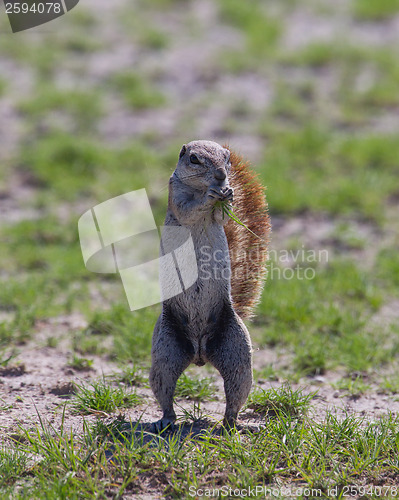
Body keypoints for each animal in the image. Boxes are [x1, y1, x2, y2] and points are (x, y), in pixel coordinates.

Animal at [151, 140, 272, 430]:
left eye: (227, 158)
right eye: (194, 159)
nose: (220, 176)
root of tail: (199, 352)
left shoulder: (219, 216)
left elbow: (224, 217)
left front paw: (228, 195)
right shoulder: (176, 196)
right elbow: (188, 208)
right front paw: (210, 196)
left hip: (237, 352)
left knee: (234, 398)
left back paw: (238, 425)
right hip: (164, 353)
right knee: (165, 392)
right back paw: (165, 421)